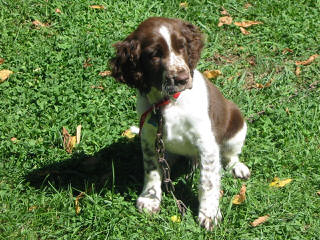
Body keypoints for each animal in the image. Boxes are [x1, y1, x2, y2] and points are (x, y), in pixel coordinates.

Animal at [110, 16, 250, 231]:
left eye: (182, 47)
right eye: (154, 55)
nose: (183, 79)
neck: (169, 102)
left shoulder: (207, 143)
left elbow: (208, 182)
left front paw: (209, 214)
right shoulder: (149, 136)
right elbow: (151, 169)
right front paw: (150, 198)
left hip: (237, 128)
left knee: (230, 155)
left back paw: (238, 167)